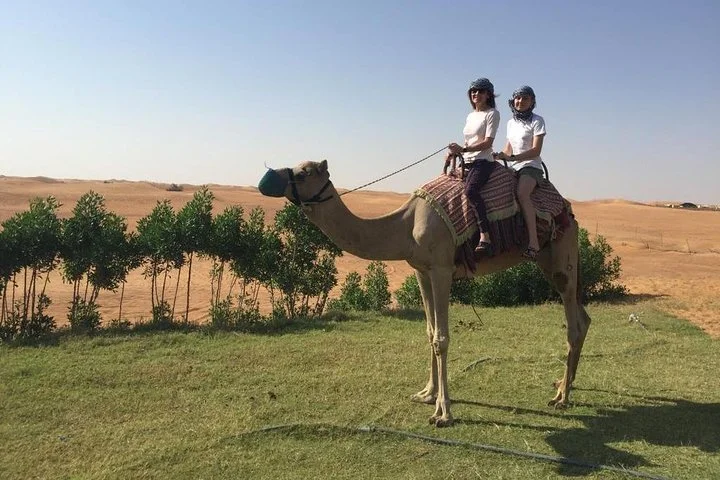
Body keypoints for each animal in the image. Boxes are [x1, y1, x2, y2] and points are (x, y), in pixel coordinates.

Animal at [258, 160, 592, 427]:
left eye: (303, 173)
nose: (266, 177)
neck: (406, 225)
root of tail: (569, 210)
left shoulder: (442, 269)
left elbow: (441, 338)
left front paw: (443, 412)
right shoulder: (421, 270)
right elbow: (429, 331)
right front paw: (426, 394)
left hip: (560, 255)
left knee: (574, 324)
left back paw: (561, 398)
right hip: (551, 261)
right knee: (584, 317)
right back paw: (563, 385)